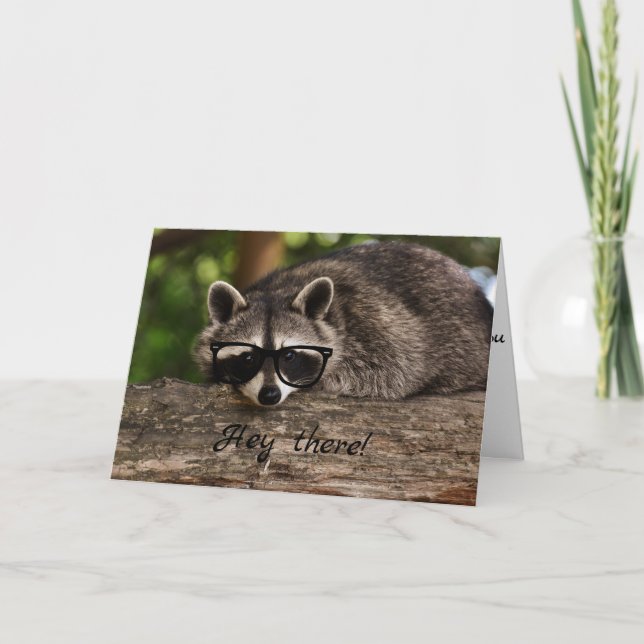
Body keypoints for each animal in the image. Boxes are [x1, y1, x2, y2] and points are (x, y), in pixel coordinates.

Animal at [194, 241, 493, 406]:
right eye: (248, 357)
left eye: (289, 356)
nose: (270, 395)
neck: (278, 291)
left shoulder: (380, 325)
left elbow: (397, 371)